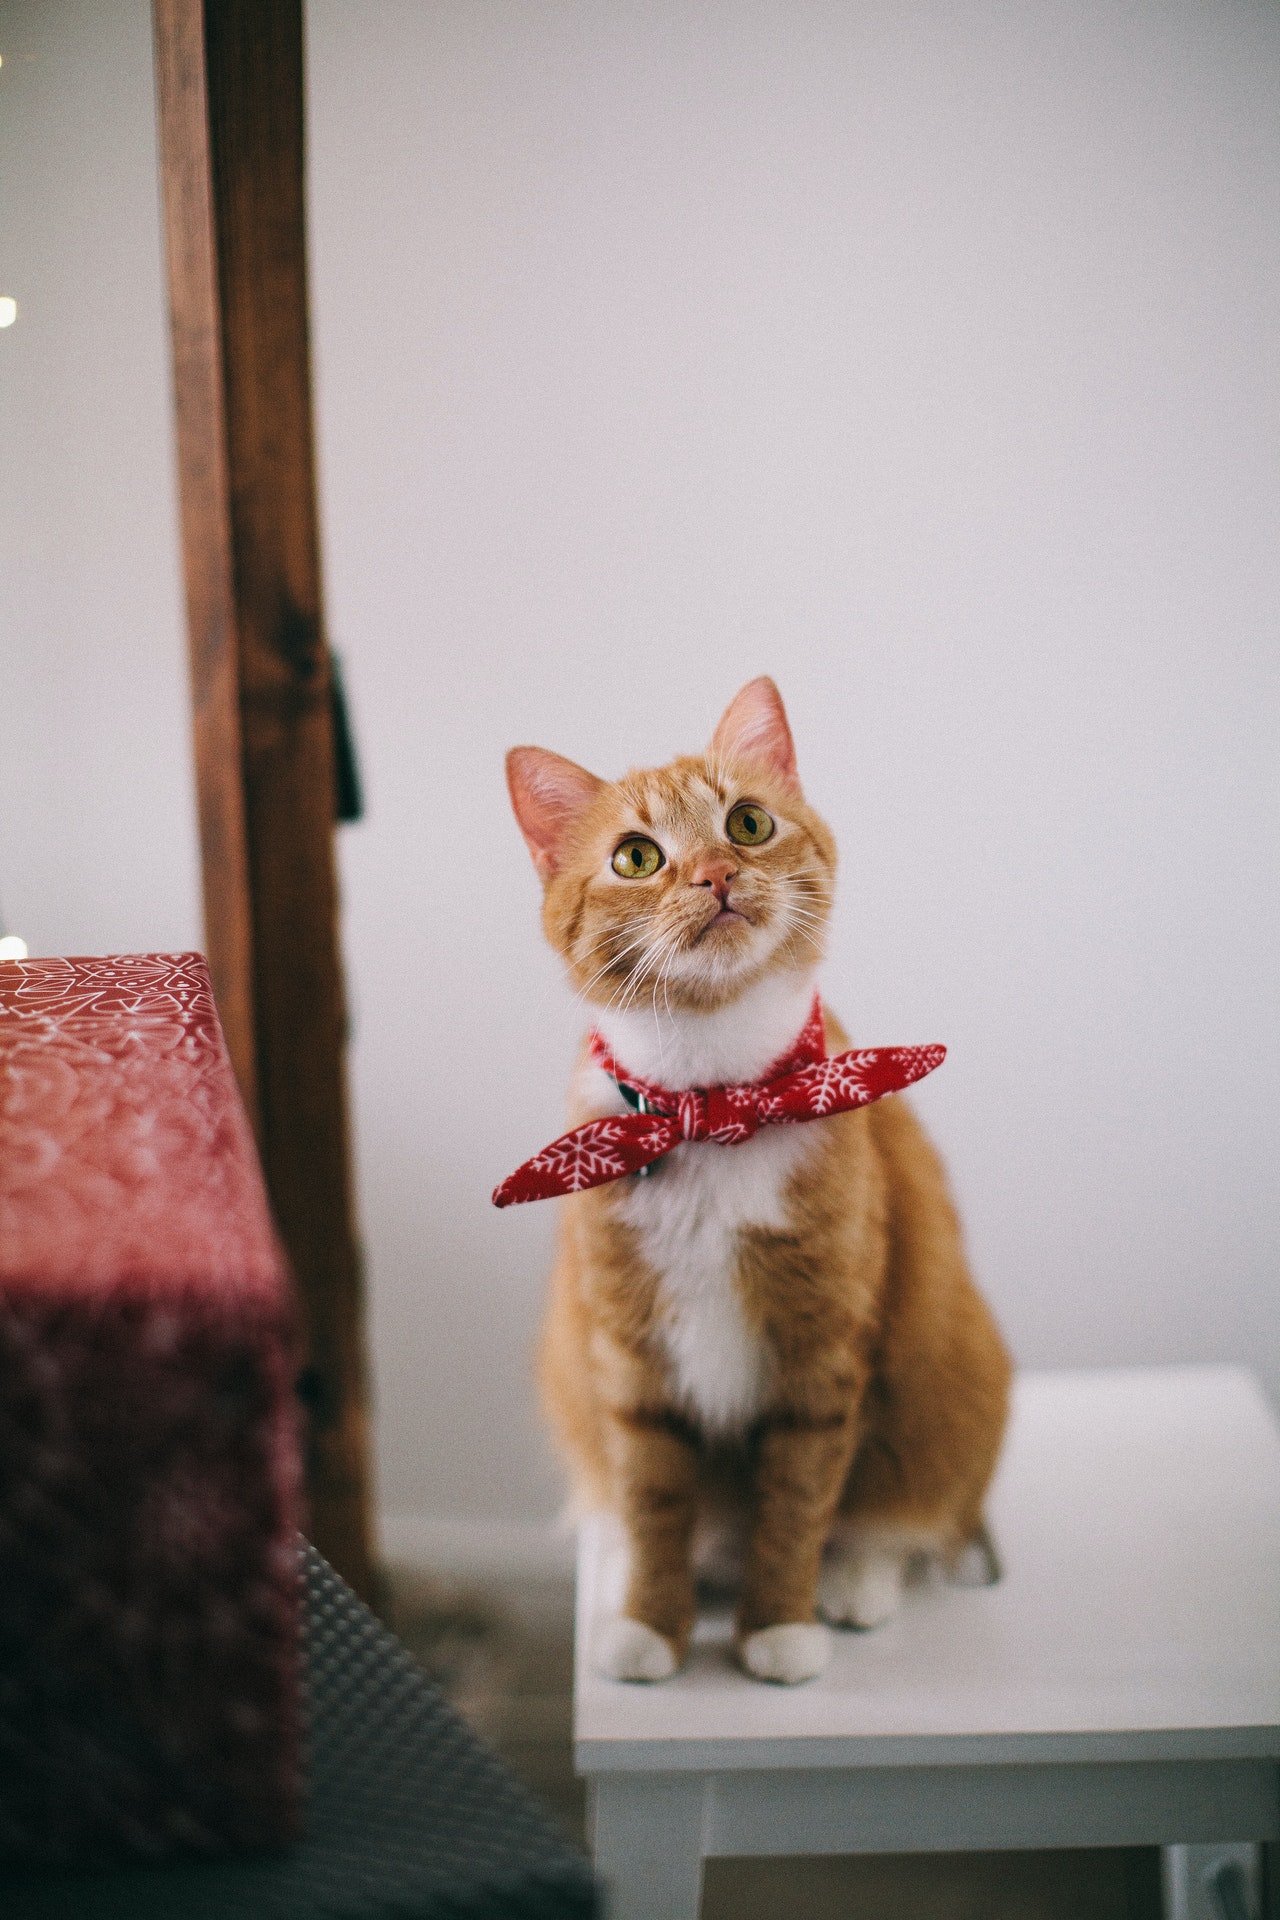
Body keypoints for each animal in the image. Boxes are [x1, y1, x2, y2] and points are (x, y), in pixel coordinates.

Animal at [502, 675, 1013, 1681]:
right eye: (636, 856)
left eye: (746, 823)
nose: (715, 874)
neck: (718, 1108)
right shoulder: (631, 1361)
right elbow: (654, 1501)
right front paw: (650, 1623)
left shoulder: (819, 1357)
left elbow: (797, 1507)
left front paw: (779, 1625)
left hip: (950, 1381)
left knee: (901, 1519)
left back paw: (855, 1583)